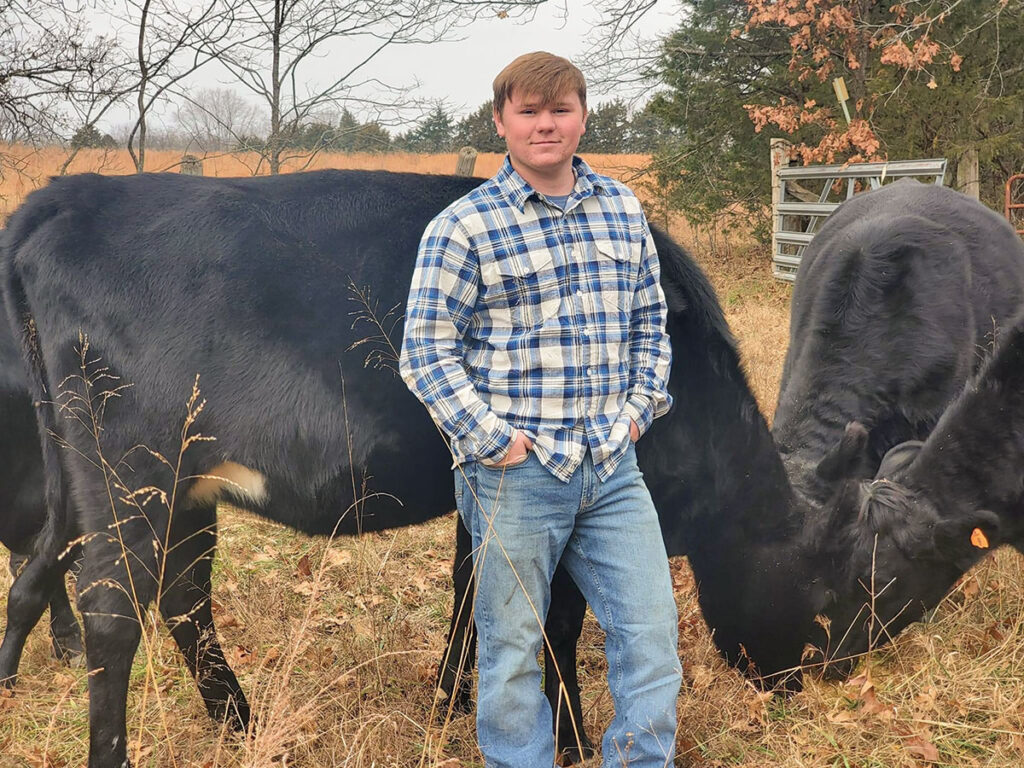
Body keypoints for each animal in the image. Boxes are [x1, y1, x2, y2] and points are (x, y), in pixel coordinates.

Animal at [0, 169, 827, 768]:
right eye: (824, 593)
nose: (808, 683)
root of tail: (78, 192)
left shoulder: (484, 494)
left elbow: (472, 591)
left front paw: (450, 700)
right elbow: (555, 617)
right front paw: (568, 743)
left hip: (145, 486)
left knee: (143, 590)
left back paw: (232, 721)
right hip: (131, 473)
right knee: (113, 609)